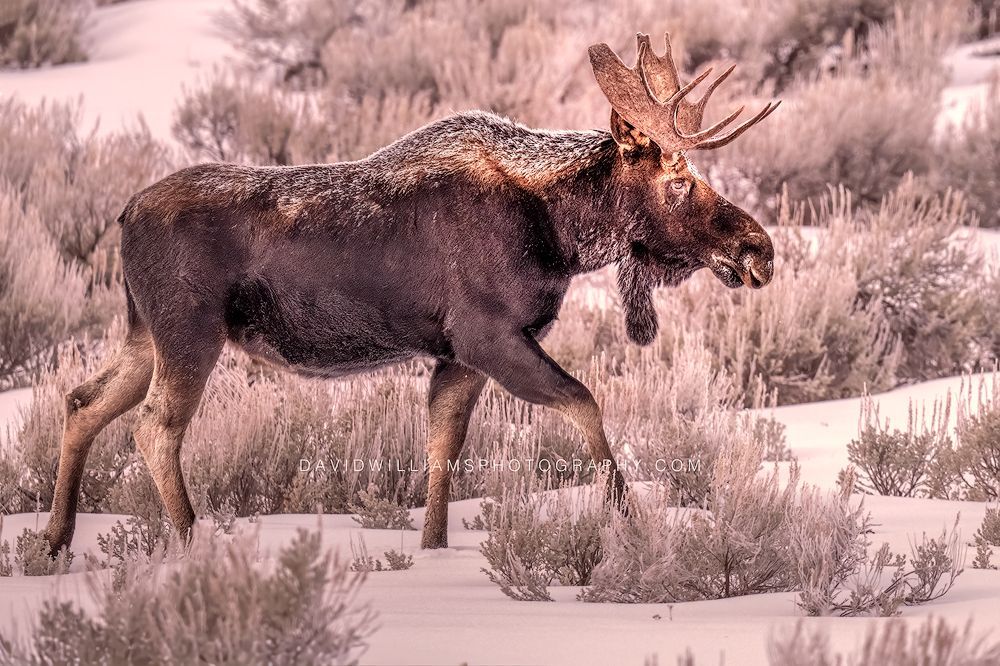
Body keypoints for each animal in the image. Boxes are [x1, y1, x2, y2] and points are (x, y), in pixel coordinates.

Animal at [44, 33, 778, 555]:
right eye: (678, 180)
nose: (759, 250)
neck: (561, 233)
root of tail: (124, 213)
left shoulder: (457, 356)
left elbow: (441, 454)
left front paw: (432, 552)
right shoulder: (488, 336)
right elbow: (586, 405)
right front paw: (630, 524)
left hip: (144, 331)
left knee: (83, 400)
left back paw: (55, 540)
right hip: (189, 330)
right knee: (154, 426)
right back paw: (192, 544)